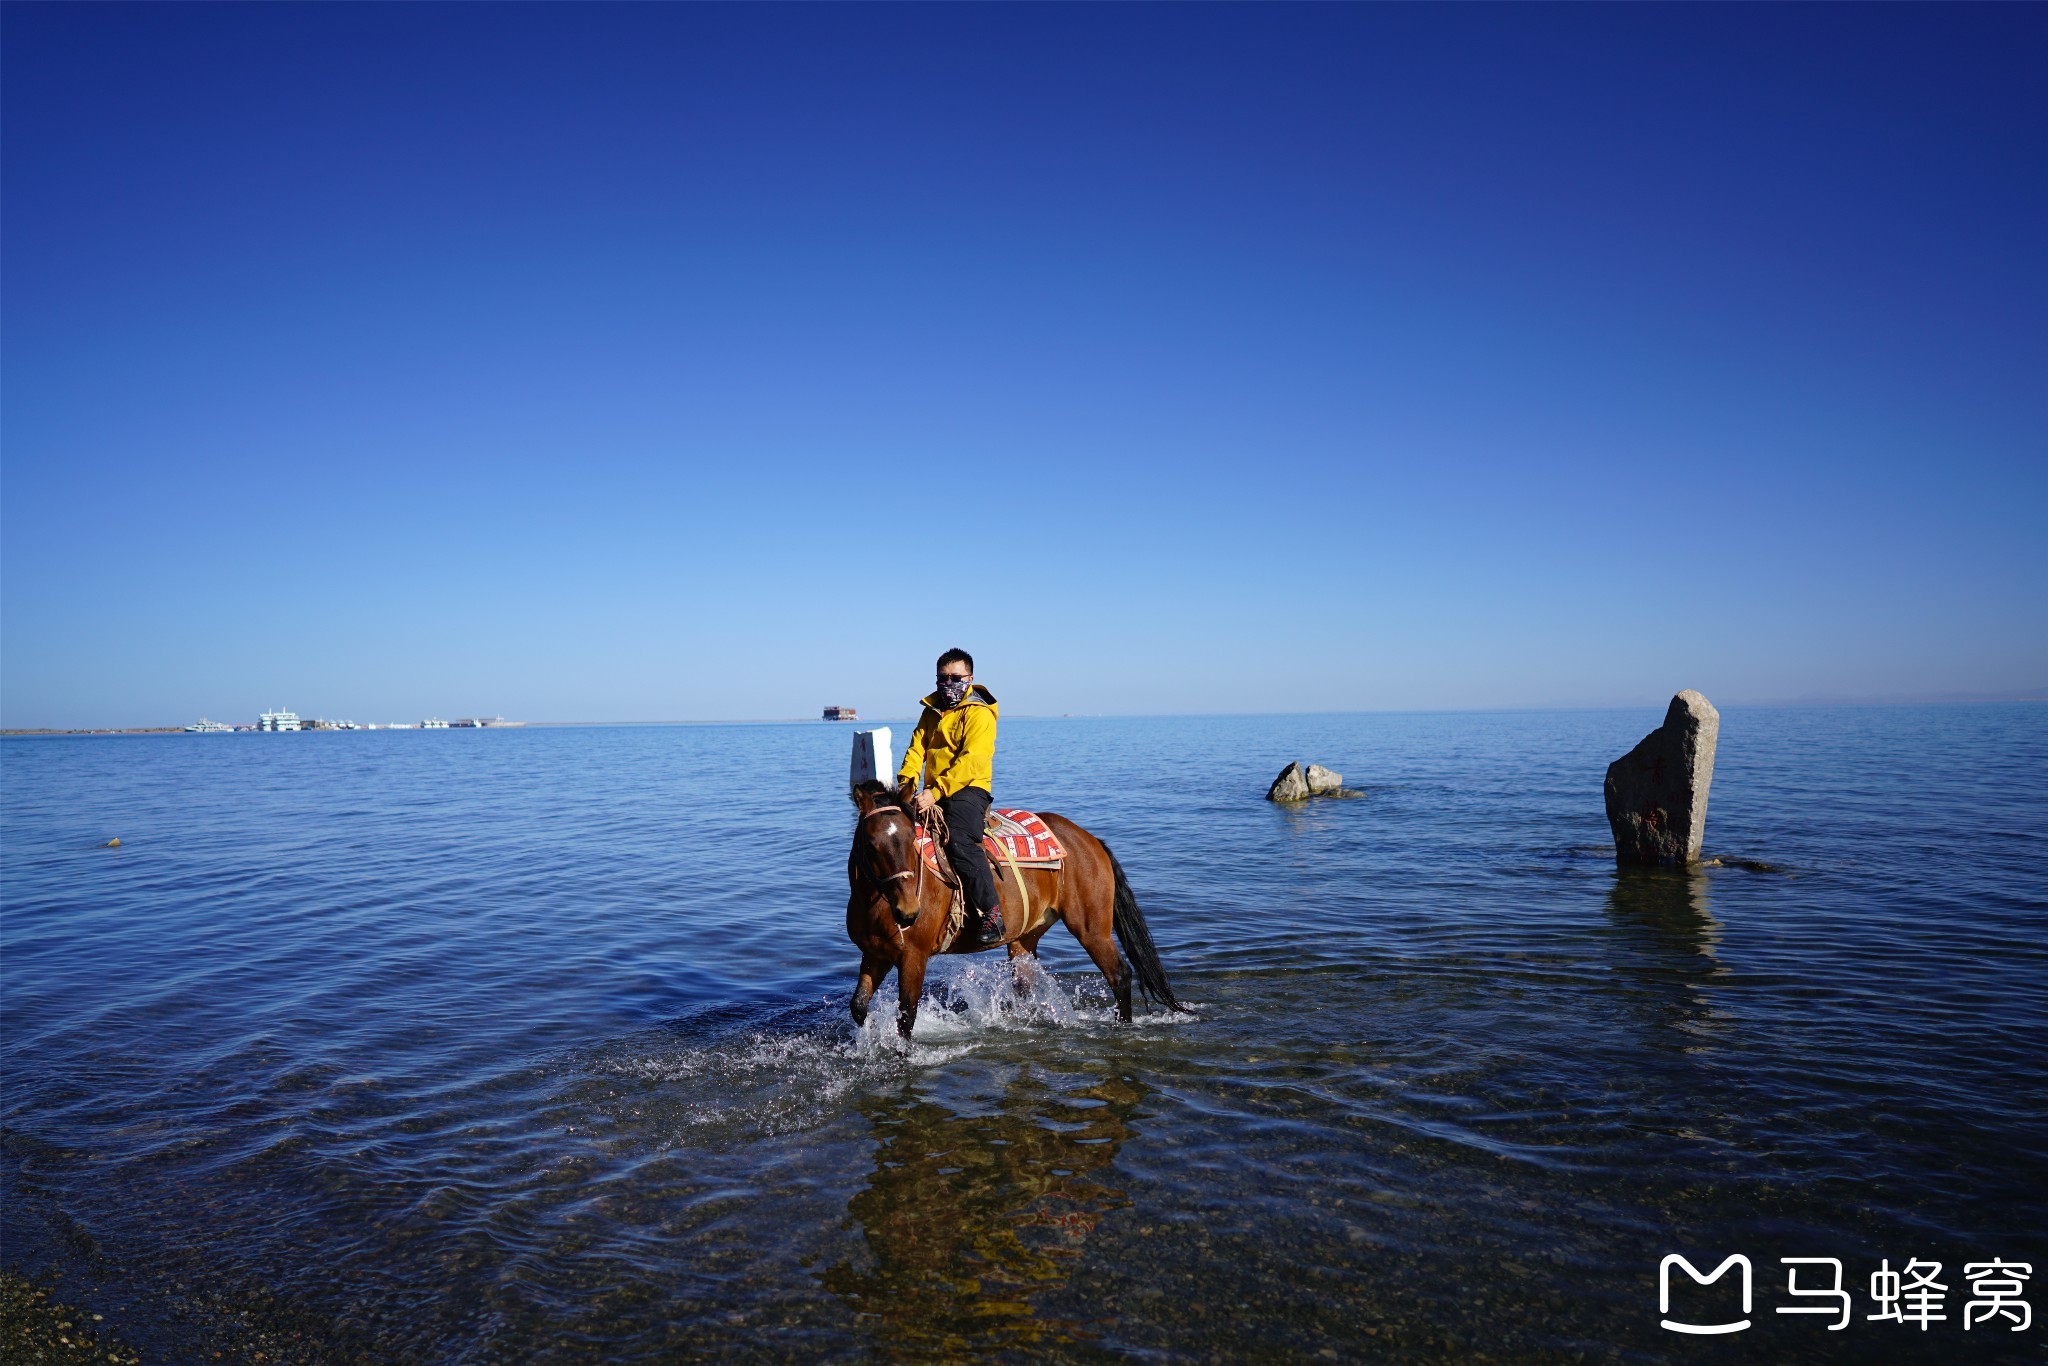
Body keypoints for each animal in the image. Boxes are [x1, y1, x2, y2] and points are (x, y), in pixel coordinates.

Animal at [847, 778, 1187, 1036]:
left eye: (910, 838)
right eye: (871, 844)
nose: (908, 912)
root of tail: (1089, 840)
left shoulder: (913, 957)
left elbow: (906, 1017)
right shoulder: (875, 955)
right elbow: (859, 1007)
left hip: (1092, 929)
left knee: (1119, 974)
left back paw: (1123, 1026)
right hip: (1025, 937)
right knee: (1024, 984)